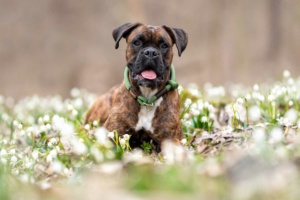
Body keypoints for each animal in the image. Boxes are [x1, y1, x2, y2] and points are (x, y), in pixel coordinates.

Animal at [85, 22, 188, 151]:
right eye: (137, 42)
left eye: (164, 45)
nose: (150, 52)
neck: (147, 98)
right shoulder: (112, 133)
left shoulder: (172, 138)